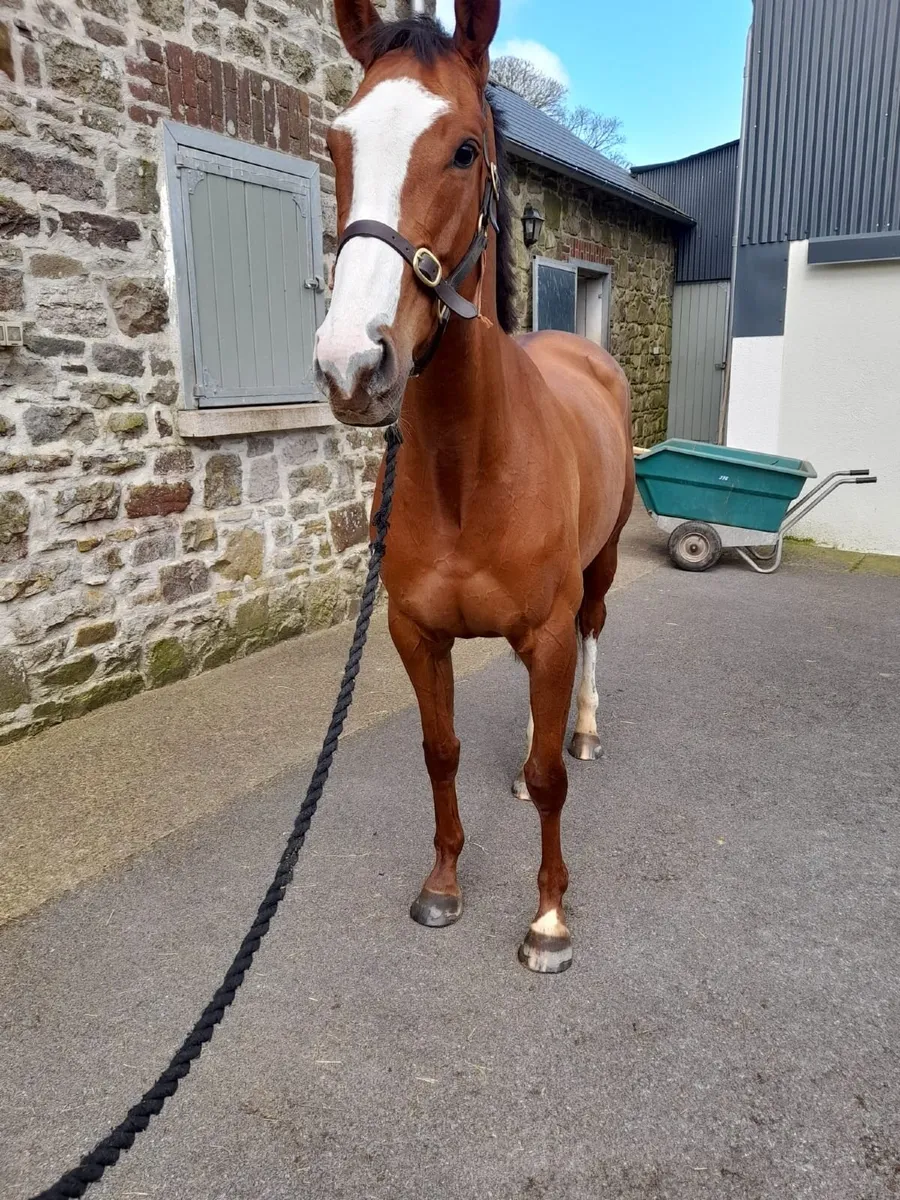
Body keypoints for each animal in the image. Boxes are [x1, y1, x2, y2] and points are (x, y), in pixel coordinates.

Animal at [314, 0, 634, 973]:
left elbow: (552, 777)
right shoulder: (417, 635)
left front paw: (549, 920)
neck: (471, 467)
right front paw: (443, 885)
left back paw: (585, 727)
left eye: (463, 149)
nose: (351, 366)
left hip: (600, 571)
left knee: (590, 641)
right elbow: (442, 751)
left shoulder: (546, 627)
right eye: (337, 144)